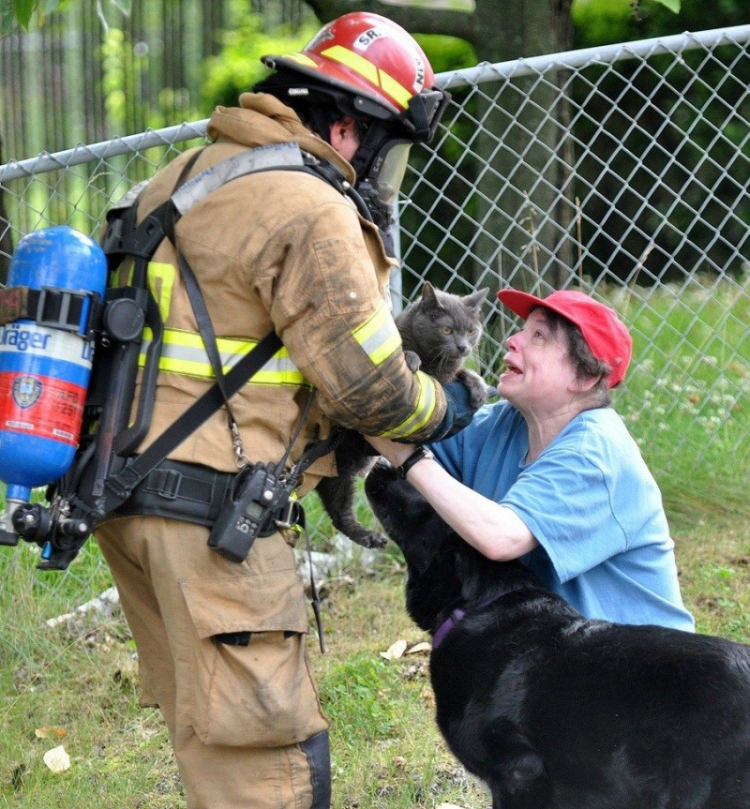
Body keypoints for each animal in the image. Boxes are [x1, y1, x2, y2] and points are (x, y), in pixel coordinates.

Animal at [318, 284, 494, 548]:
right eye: (447, 329)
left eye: (472, 330)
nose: (463, 346)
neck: (434, 360)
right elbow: (403, 355)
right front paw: (411, 358)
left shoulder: (443, 381)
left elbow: (460, 373)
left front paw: (478, 388)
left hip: (340, 472)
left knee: (338, 509)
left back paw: (370, 538)